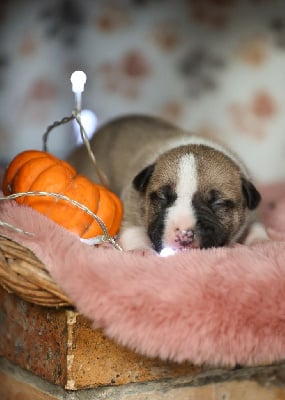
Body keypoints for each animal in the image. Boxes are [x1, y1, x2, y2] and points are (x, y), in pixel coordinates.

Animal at [67, 115, 268, 253]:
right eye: (163, 197)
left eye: (217, 203)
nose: (183, 234)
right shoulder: (130, 202)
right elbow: (133, 229)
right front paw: (141, 250)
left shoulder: (252, 210)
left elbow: (256, 225)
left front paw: (260, 241)